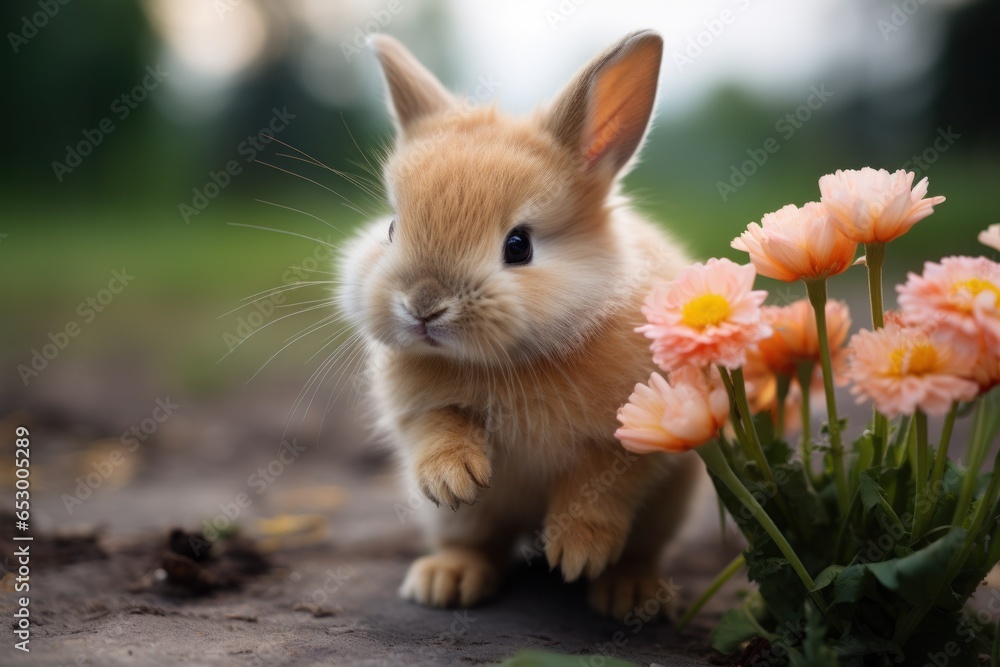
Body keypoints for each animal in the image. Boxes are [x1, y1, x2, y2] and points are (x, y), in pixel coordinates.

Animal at [338, 27, 704, 620]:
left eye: (519, 245)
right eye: (392, 228)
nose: (423, 305)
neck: (514, 359)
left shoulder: (634, 440)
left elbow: (600, 487)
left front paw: (576, 552)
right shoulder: (417, 412)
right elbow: (436, 428)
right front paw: (455, 479)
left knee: (642, 550)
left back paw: (630, 593)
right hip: (462, 524)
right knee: (477, 542)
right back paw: (445, 581)